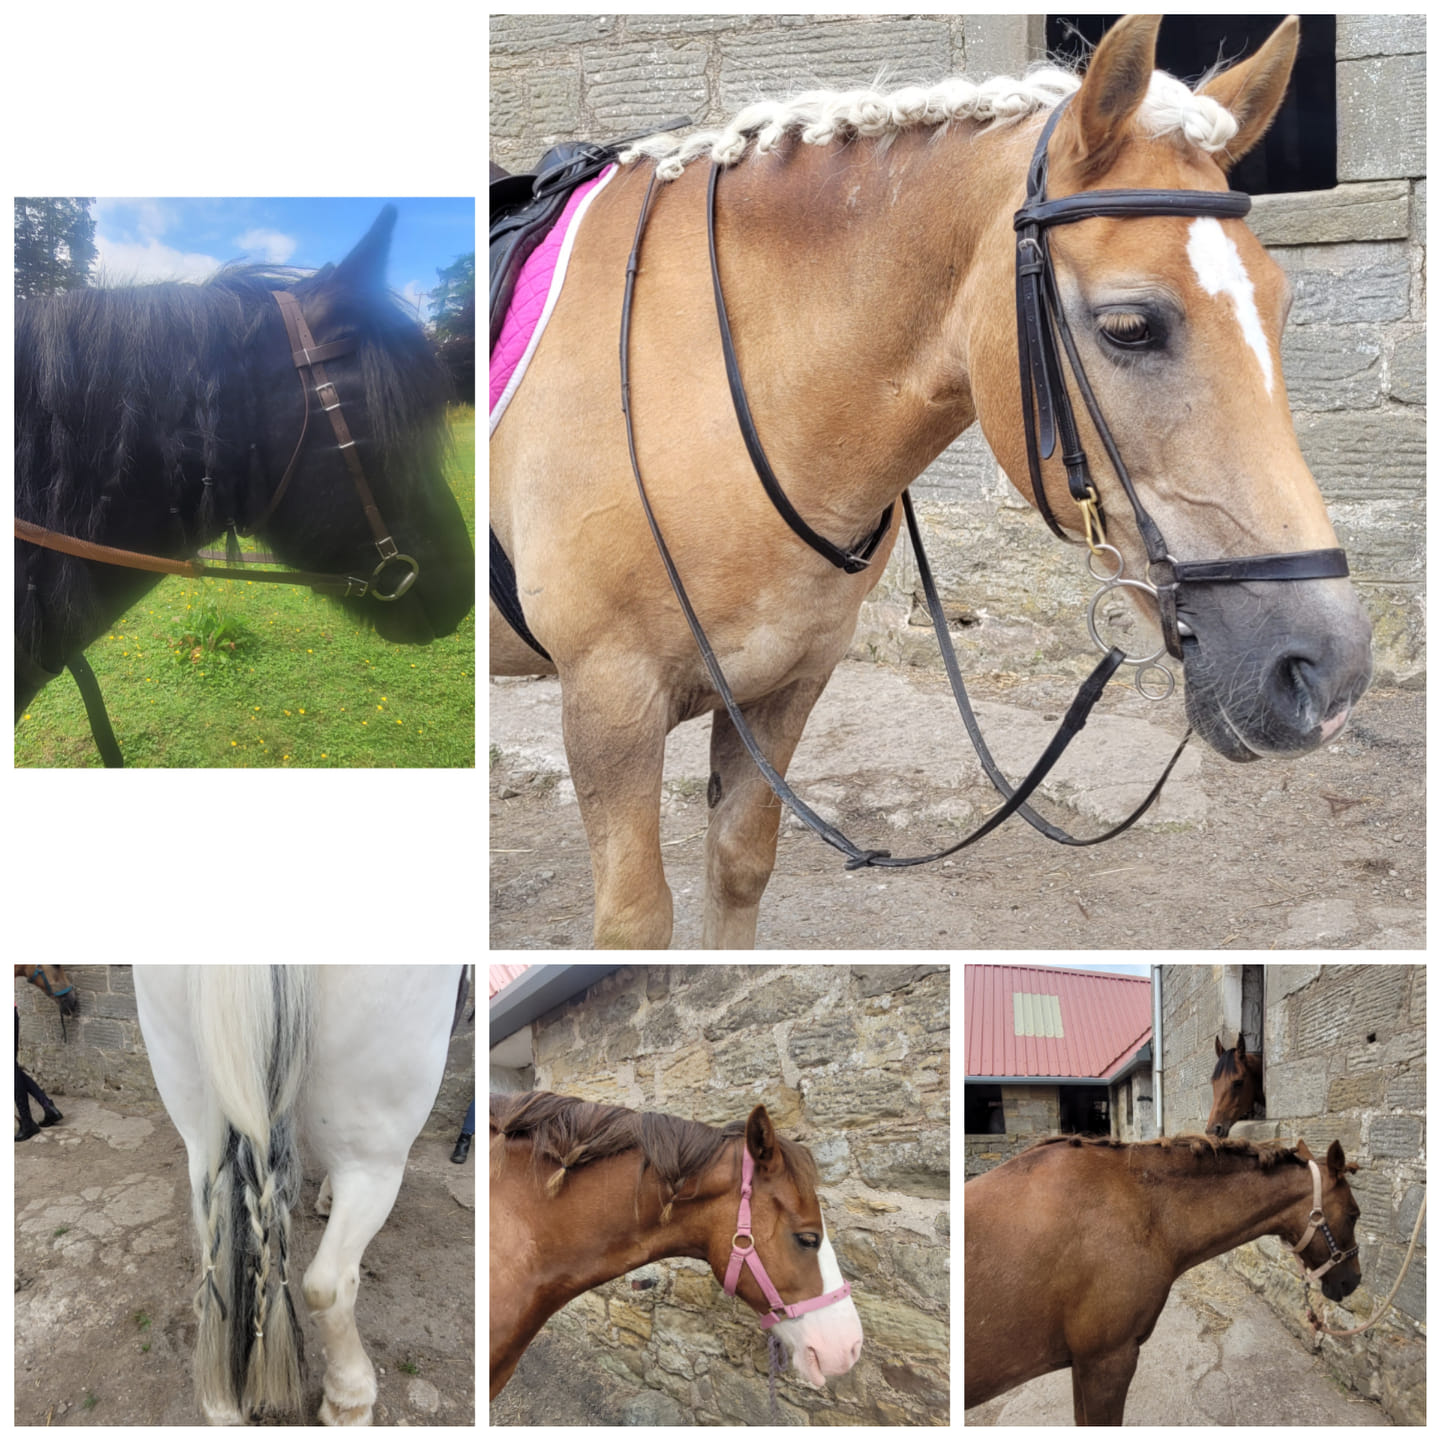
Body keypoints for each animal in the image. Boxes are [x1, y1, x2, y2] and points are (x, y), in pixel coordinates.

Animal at [489, 13, 1372, 947]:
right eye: (1130, 326)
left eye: (1279, 306)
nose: (1331, 669)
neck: (697, 382)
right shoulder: (609, 701)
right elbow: (635, 927)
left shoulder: (785, 685)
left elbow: (738, 867)